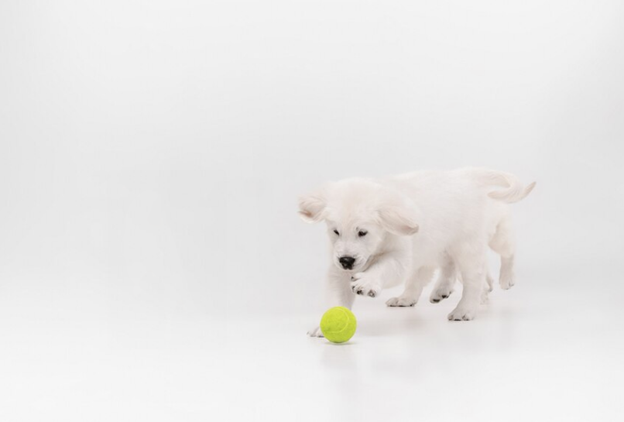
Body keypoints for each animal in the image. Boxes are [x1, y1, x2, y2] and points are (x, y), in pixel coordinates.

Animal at [300, 168, 532, 336]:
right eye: (335, 231)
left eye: (363, 232)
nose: (346, 260)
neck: (380, 242)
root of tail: (468, 176)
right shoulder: (337, 268)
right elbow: (336, 296)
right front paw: (328, 324)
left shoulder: (401, 257)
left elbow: (385, 266)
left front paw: (367, 282)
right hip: (440, 244)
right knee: (444, 268)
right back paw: (419, 295)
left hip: (475, 242)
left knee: (489, 265)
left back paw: (472, 303)